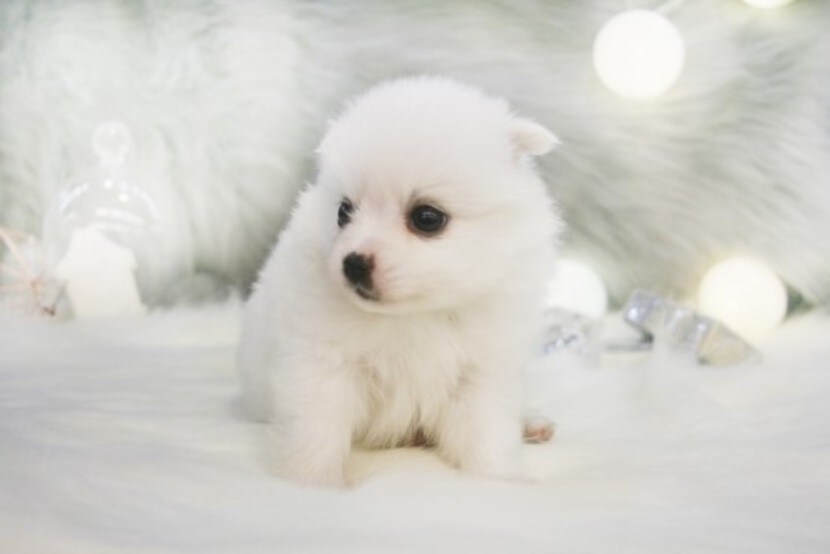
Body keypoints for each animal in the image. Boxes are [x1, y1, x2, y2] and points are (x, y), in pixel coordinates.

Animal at [237, 76, 562, 486]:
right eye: (343, 211)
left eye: (427, 218)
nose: (353, 264)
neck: (415, 315)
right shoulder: (322, 364)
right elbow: (317, 431)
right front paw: (313, 481)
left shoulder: (481, 372)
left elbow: (485, 435)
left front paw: (495, 479)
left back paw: (532, 423)